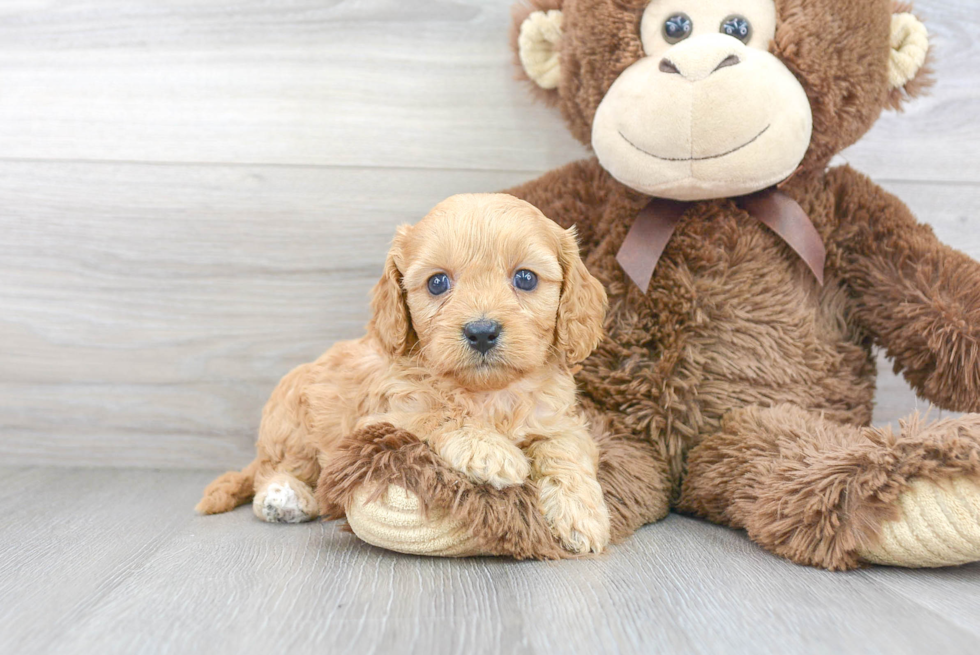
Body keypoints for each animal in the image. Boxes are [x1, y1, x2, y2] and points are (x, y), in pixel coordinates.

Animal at [197, 193, 612, 552]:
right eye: (437, 282)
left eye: (525, 278)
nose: (481, 332)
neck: (487, 392)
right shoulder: (382, 418)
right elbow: (437, 413)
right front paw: (488, 449)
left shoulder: (560, 420)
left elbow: (565, 450)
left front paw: (580, 514)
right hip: (292, 421)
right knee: (273, 471)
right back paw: (284, 498)